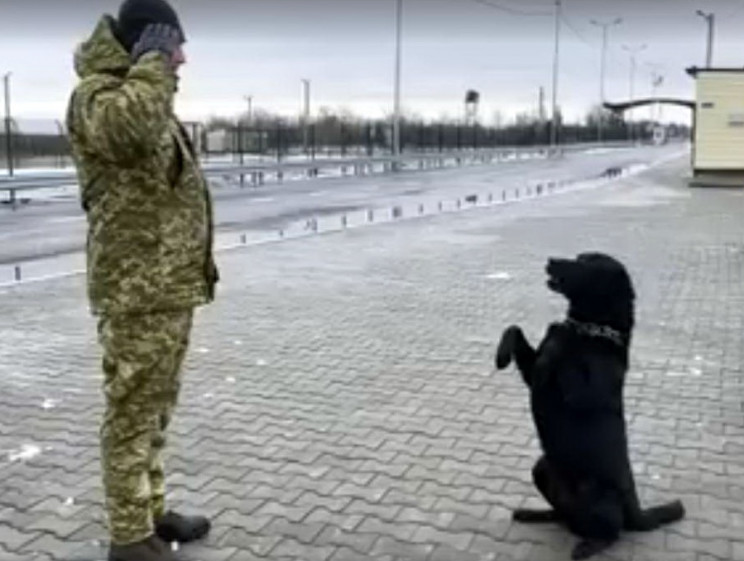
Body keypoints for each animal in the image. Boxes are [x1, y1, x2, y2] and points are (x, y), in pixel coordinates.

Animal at [496, 253, 684, 556]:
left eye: (585, 262)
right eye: (578, 257)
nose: (550, 259)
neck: (593, 328)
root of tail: (636, 509)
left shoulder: (584, 393)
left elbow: (559, 348)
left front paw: (559, 337)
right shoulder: (533, 371)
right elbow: (515, 329)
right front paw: (501, 356)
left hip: (594, 493)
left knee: (614, 532)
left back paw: (589, 546)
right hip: (541, 468)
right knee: (564, 515)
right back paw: (535, 514)